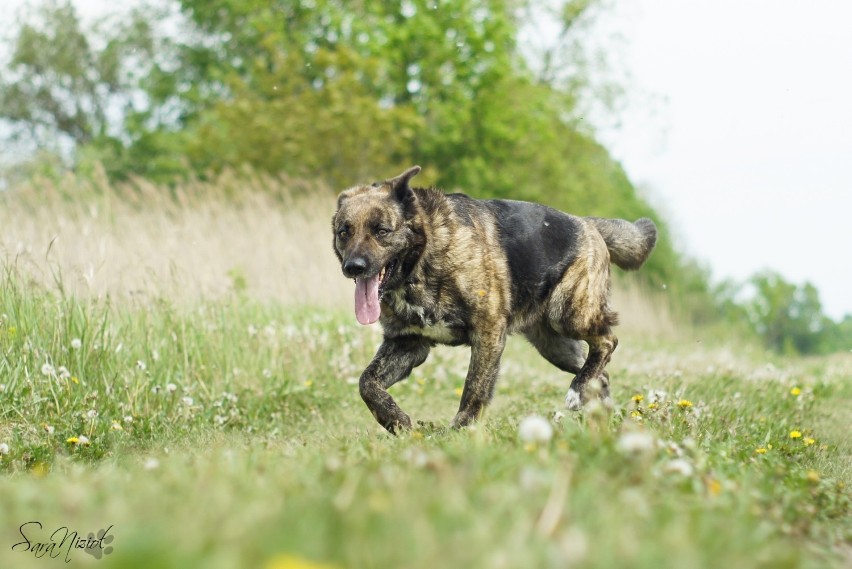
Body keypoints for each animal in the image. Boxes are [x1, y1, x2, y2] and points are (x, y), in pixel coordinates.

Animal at [330, 166, 656, 432]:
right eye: (344, 232)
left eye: (382, 231)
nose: (353, 267)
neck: (425, 256)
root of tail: (588, 224)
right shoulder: (407, 344)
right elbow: (367, 384)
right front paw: (397, 422)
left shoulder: (487, 333)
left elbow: (474, 388)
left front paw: (460, 432)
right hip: (556, 346)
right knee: (602, 375)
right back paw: (599, 416)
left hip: (569, 314)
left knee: (608, 341)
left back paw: (578, 391)